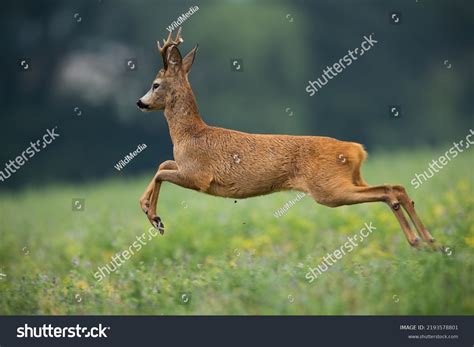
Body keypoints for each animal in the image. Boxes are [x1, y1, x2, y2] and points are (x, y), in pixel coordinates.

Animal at [136, 27, 440, 250]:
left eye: (155, 84)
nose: (140, 103)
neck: (188, 135)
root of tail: (357, 149)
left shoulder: (198, 175)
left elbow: (161, 171)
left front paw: (154, 217)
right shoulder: (187, 169)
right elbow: (163, 164)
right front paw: (153, 215)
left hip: (328, 188)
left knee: (388, 190)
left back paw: (420, 240)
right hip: (351, 180)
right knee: (395, 187)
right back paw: (428, 240)